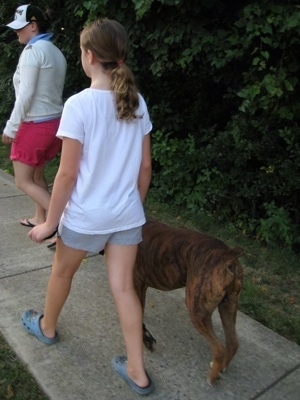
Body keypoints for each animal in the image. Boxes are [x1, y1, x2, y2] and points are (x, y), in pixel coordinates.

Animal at [134, 219, 244, 384]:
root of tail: (227, 255)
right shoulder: (142, 285)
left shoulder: (135, 284)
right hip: (228, 306)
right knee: (232, 343)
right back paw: (221, 368)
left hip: (197, 310)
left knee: (219, 349)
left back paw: (212, 377)